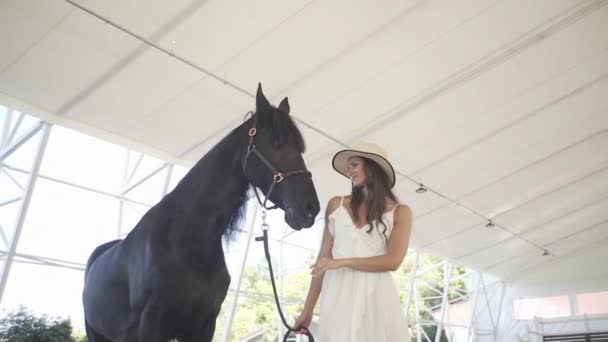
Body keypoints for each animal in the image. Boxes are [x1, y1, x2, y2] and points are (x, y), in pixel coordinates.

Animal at [82, 83, 320, 342]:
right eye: (276, 142)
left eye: (300, 148)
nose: (311, 208)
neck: (185, 241)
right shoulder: (151, 322)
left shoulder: (204, 324)